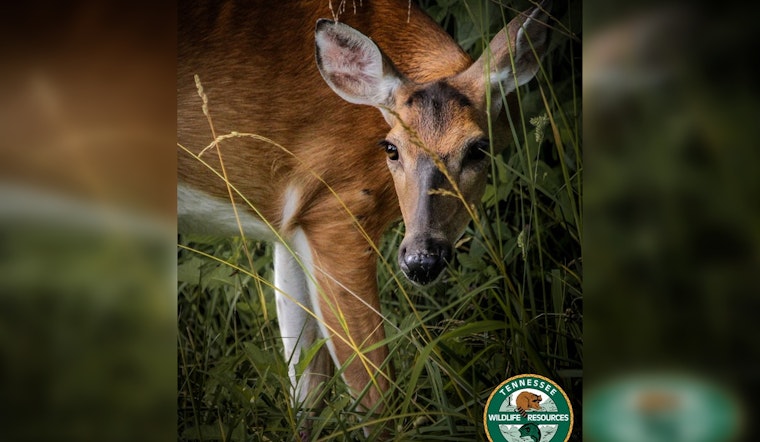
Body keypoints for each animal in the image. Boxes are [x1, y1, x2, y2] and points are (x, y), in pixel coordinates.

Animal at [178, 0, 550, 438]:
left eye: (478, 148)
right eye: (391, 147)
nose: (422, 259)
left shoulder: (290, 224)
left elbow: (306, 384)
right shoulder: (335, 213)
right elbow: (373, 396)